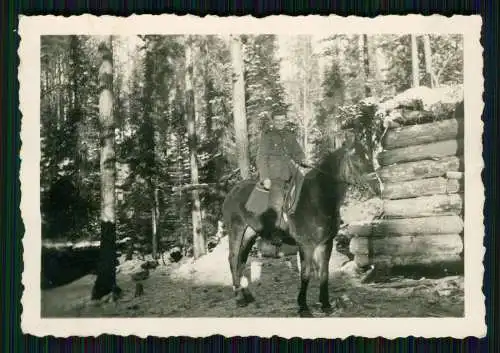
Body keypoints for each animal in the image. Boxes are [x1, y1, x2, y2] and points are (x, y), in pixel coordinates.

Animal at [224, 115, 376, 316]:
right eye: (357, 159)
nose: (376, 184)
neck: (317, 199)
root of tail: (232, 190)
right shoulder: (306, 245)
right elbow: (306, 273)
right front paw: (303, 307)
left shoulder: (325, 244)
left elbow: (324, 272)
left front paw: (325, 304)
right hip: (236, 229)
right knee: (233, 259)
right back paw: (239, 298)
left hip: (250, 233)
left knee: (241, 260)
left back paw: (247, 295)